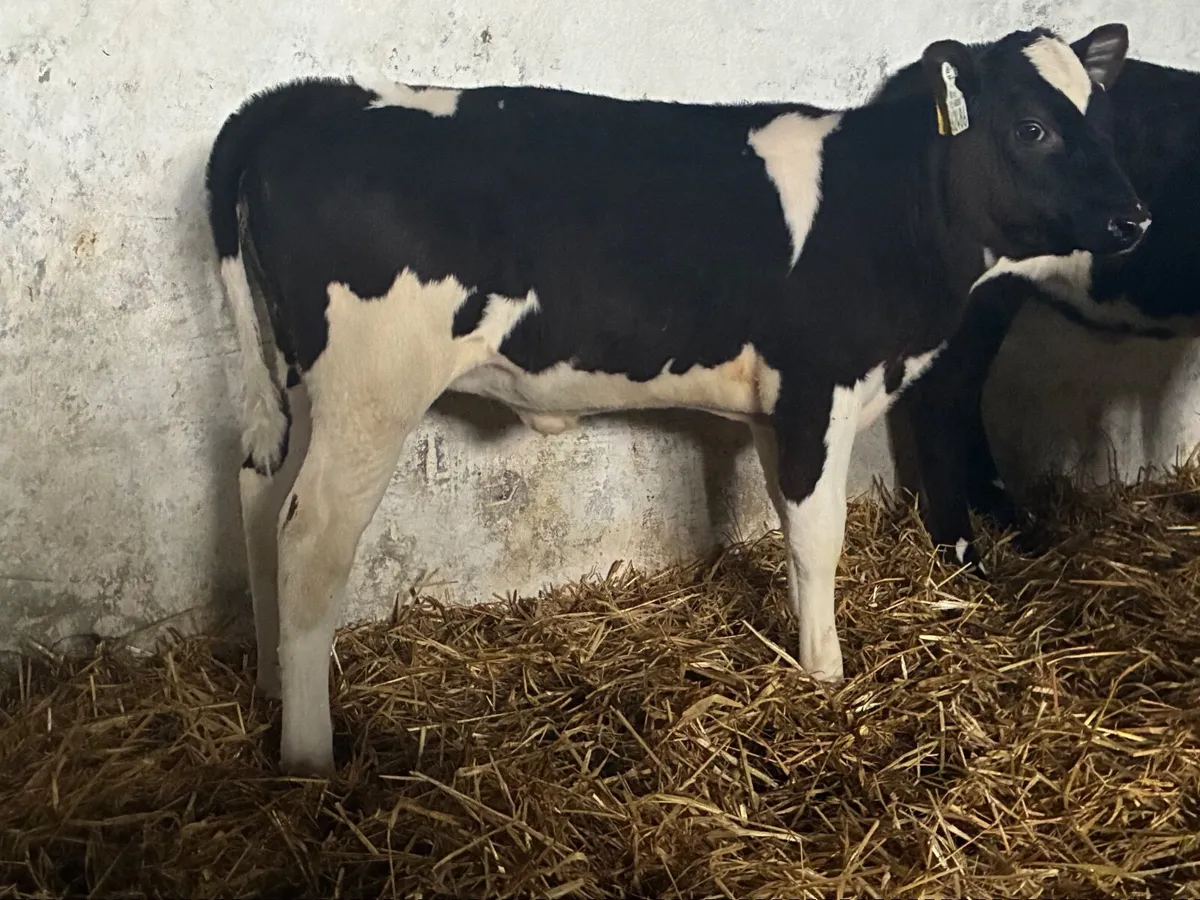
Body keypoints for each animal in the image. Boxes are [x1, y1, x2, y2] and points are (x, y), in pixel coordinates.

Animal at [205, 24, 1146, 775]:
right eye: (1032, 128)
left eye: (1103, 121)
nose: (1135, 219)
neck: (886, 206)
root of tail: (314, 98)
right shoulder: (818, 387)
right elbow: (820, 537)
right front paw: (827, 673)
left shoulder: (775, 408)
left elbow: (788, 527)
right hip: (372, 389)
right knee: (311, 539)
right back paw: (309, 753)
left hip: (297, 383)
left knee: (260, 497)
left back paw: (271, 682)